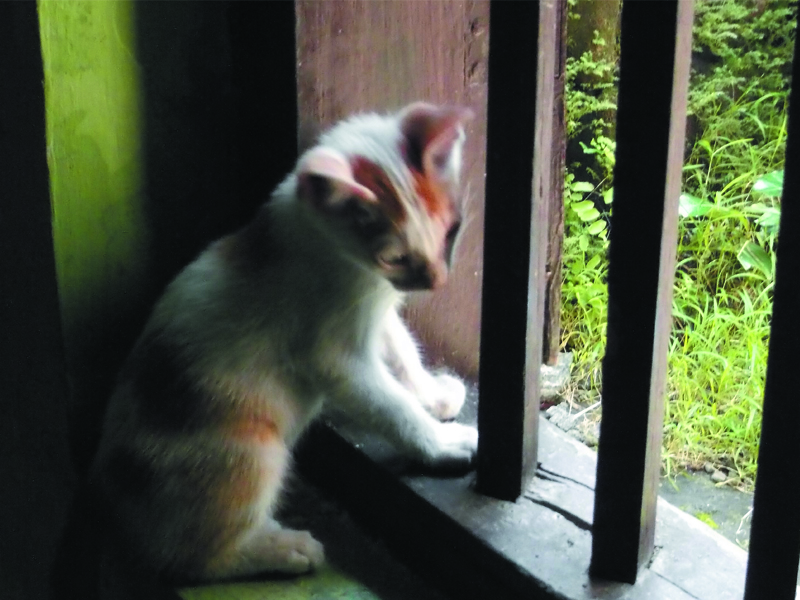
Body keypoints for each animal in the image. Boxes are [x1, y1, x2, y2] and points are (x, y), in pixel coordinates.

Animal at [89, 102, 476, 580]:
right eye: (394, 257)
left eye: (450, 229)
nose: (438, 281)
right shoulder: (334, 357)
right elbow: (390, 405)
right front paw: (439, 444)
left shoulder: (375, 312)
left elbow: (402, 352)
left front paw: (433, 395)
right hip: (251, 452)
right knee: (193, 559)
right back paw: (283, 549)